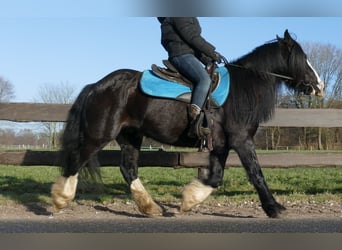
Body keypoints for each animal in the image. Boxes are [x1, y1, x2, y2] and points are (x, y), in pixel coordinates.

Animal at [51, 30, 324, 217]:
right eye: (303, 58)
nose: (319, 86)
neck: (241, 88)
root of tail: (96, 85)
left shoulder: (221, 144)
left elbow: (215, 177)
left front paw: (189, 199)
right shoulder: (241, 140)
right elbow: (256, 173)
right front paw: (274, 207)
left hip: (130, 136)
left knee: (128, 169)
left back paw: (150, 207)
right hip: (99, 135)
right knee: (75, 161)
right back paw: (60, 199)